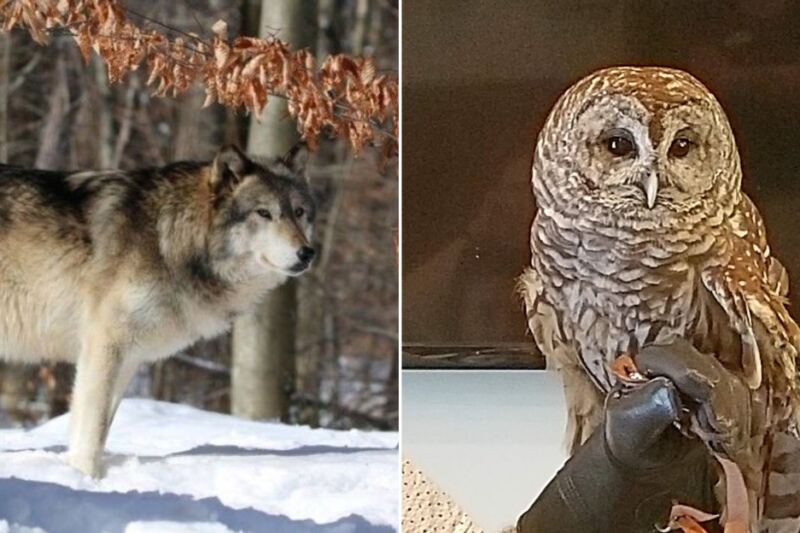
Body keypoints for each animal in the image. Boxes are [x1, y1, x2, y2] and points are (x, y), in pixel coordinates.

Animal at [0, 145, 316, 477]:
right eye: (264, 213)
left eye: (299, 212)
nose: (307, 253)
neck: (170, 239)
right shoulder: (104, 345)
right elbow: (92, 426)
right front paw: (86, 477)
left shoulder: (128, 358)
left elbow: (100, 427)